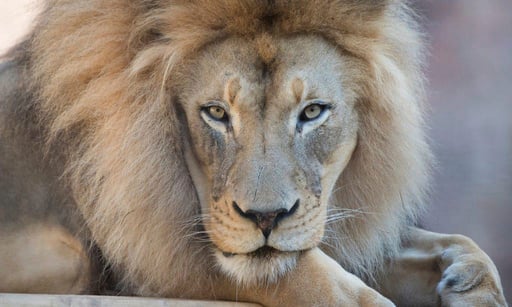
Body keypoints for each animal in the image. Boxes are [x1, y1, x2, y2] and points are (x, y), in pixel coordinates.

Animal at [0, 0, 506, 306]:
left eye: (312, 111)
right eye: (216, 112)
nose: (266, 218)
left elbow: (461, 244)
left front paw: (469, 287)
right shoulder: (155, 252)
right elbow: (323, 284)